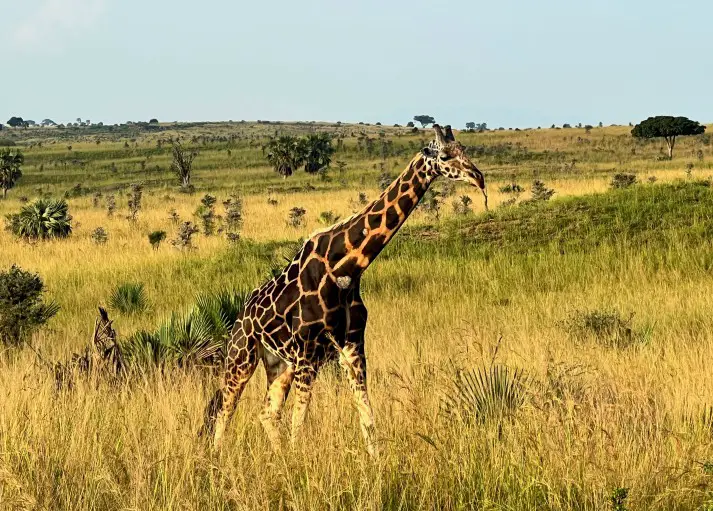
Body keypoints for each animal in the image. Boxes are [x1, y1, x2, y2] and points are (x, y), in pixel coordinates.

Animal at [206, 124, 484, 456]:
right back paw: (216, 459)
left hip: (279, 364)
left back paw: (278, 458)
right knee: (225, 410)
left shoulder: (351, 347)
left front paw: (376, 462)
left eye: (464, 149)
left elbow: (367, 417)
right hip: (242, 355)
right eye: (444, 156)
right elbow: (300, 423)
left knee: (266, 413)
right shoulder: (307, 353)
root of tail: (241, 315)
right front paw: (300, 465)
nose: (478, 177)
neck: (347, 269)